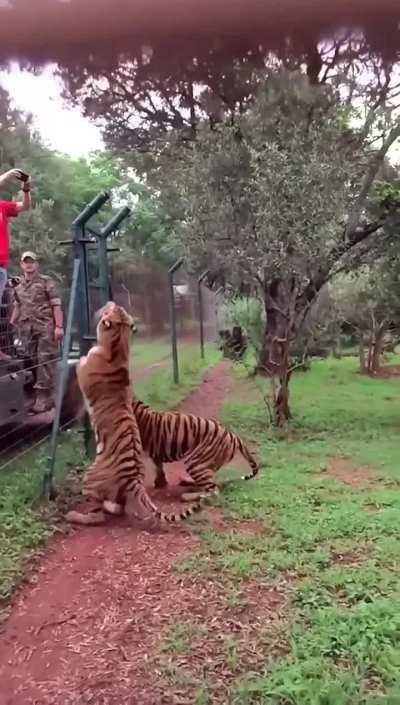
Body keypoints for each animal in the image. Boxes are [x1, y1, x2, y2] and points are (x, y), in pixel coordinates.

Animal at [65, 302, 202, 527]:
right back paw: (111, 507)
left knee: (96, 516)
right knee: (119, 507)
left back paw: (75, 516)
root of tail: (134, 477)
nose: (110, 302)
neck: (119, 345)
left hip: (90, 478)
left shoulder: (83, 368)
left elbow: (79, 364)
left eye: (111, 309)